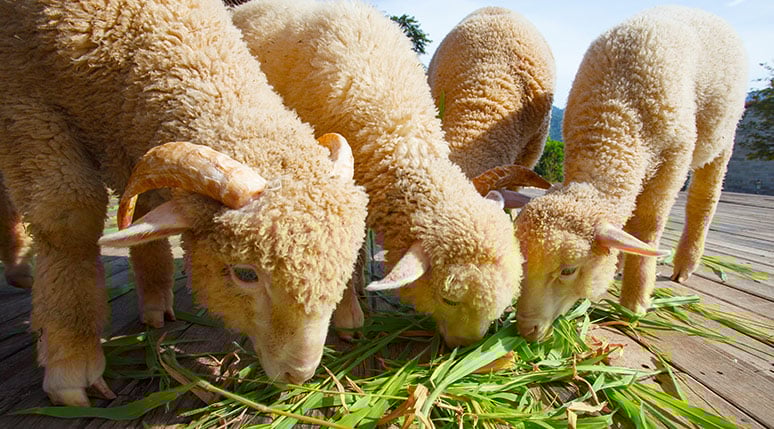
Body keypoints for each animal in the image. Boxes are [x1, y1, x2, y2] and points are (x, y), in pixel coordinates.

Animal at [0, 0, 369, 406]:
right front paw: (71, 355)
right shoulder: (23, 100)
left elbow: (144, 214)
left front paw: (155, 300)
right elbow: (67, 218)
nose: (298, 375)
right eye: (245, 274)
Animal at [513, 5, 748, 342]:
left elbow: (649, 224)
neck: (614, 115)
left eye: (569, 270)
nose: (525, 330)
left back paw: (685, 264)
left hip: (722, 138)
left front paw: (635, 303)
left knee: (704, 199)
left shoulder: (674, 157)